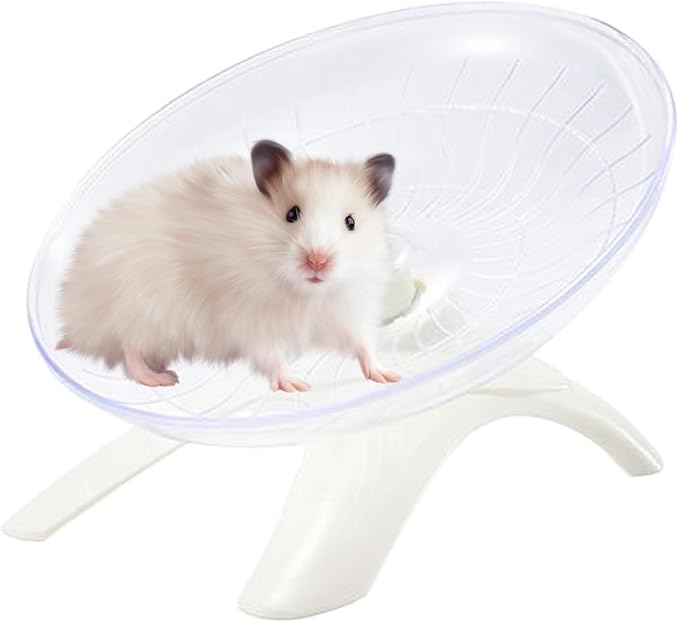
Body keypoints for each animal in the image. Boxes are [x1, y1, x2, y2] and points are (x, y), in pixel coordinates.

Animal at [57, 140, 400, 392]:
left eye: (351, 222)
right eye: (291, 214)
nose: (318, 261)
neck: (305, 294)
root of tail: (76, 320)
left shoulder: (349, 310)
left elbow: (363, 345)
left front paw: (388, 376)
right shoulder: (249, 320)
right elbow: (272, 355)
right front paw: (297, 385)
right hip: (141, 310)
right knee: (129, 350)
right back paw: (163, 379)